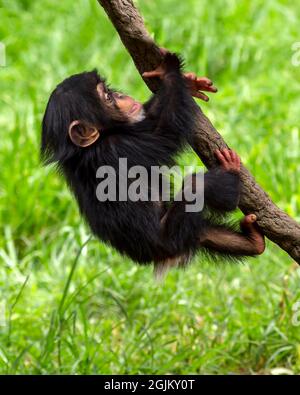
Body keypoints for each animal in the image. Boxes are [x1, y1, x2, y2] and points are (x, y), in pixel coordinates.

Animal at [41, 51, 264, 276]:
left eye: (109, 91)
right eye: (107, 97)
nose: (119, 95)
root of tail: (159, 257)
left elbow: (153, 115)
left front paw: (189, 82)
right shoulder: (123, 147)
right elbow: (164, 130)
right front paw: (169, 69)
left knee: (204, 232)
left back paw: (253, 242)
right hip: (170, 236)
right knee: (197, 186)